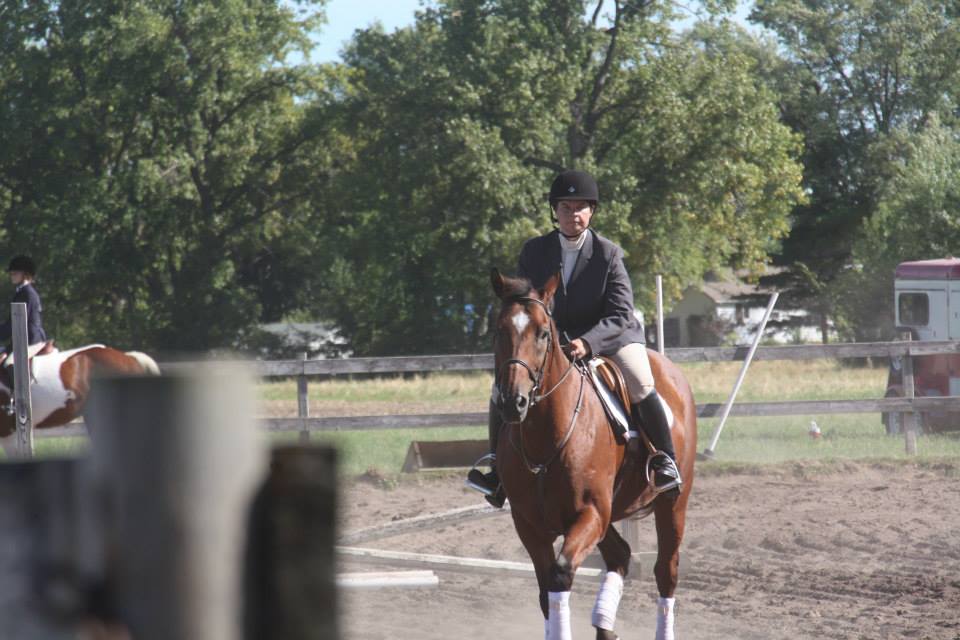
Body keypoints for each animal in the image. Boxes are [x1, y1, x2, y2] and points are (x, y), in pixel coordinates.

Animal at [496, 268, 696, 640]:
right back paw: (604, 625)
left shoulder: (589, 513)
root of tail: (671, 371)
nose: (513, 402)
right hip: (609, 513)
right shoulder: (529, 523)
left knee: (666, 571)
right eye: (499, 331)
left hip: (672, 502)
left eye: (543, 333)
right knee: (620, 555)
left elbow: (560, 575)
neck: (546, 436)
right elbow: (546, 591)